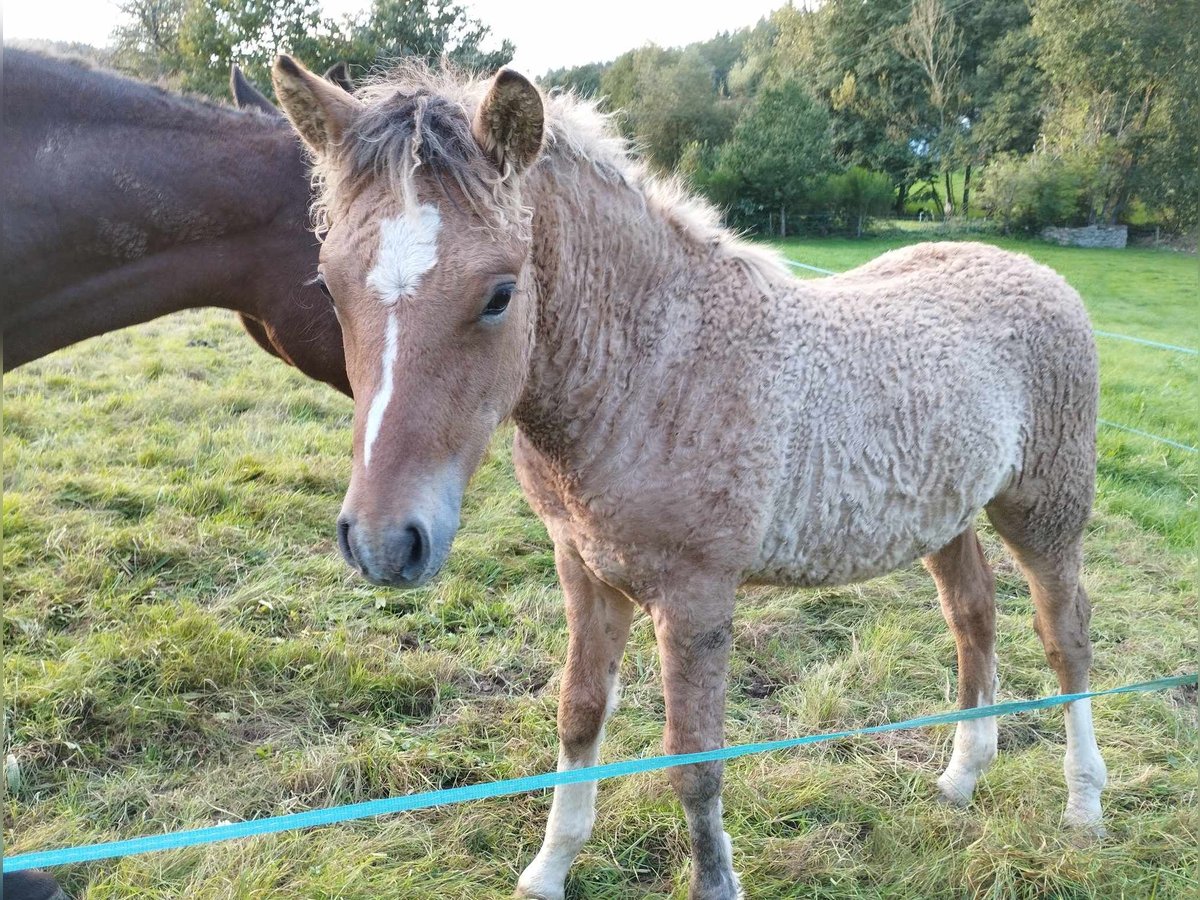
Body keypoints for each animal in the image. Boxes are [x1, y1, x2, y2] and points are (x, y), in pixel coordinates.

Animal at [272, 60, 1104, 897]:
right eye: (328, 286)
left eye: (500, 293)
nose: (383, 543)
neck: (653, 371)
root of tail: (1041, 275)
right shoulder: (584, 569)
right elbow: (579, 715)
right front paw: (549, 868)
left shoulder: (697, 598)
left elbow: (694, 761)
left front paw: (714, 881)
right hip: (947, 515)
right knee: (974, 616)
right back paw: (962, 776)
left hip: (1045, 512)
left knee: (1065, 636)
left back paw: (1084, 804)